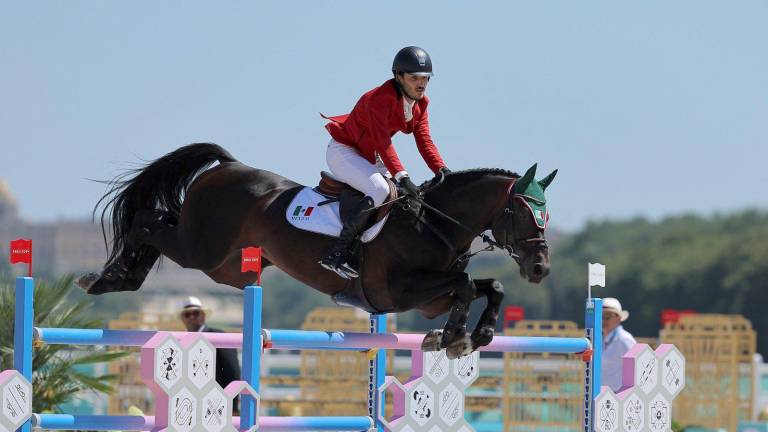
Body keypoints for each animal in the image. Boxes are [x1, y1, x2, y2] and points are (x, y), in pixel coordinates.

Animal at [76, 143, 560, 360]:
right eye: (521, 213)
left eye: (547, 214)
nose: (540, 268)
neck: (436, 223)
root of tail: (227, 164)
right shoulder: (397, 292)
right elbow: (463, 283)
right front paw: (455, 336)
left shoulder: (427, 300)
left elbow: (487, 285)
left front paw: (473, 334)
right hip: (202, 249)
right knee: (147, 220)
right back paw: (104, 278)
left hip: (227, 266)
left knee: (159, 224)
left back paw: (117, 277)